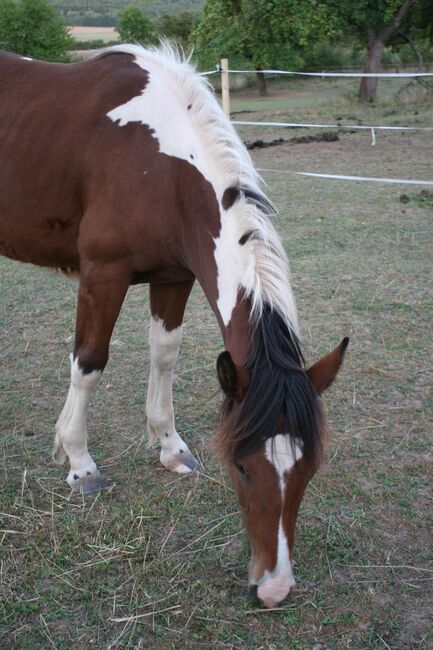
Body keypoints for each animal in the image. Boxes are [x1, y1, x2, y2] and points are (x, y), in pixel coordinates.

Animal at [0, 43, 346, 604]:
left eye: (308, 468)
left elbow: (165, 355)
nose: (273, 588)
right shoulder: (102, 274)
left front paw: (170, 447)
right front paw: (79, 463)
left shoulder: (173, 277)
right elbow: (89, 363)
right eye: (241, 466)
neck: (157, 164)